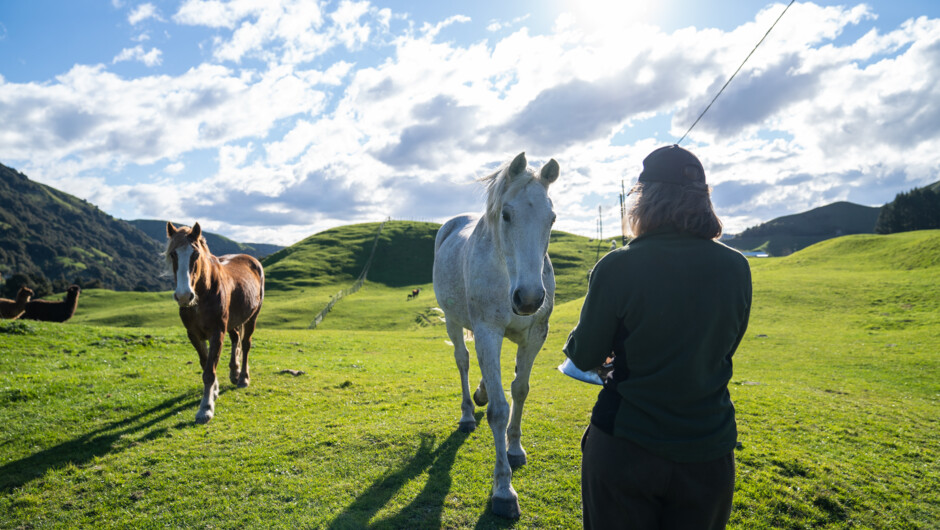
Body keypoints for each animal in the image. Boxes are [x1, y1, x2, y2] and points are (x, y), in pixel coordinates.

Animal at [166, 221, 264, 422]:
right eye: (173, 254)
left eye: (195, 254)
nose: (184, 296)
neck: (203, 294)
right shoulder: (194, 334)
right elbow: (205, 363)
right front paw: (214, 391)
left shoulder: (217, 332)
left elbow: (209, 371)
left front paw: (206, 408)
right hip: (233, 321)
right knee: (236, 339)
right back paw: (234, 372)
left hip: (252, 317)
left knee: (245, 344)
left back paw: (243, 378)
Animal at [434, 150, 560, 516]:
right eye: (506, 214)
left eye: (552, 218)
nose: (529, 298)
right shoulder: (487, 332)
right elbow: (500, 410)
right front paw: (503, 490)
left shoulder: (535, 335)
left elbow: (520, 389)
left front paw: (515, 449)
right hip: (453, 322)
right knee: (463, 361)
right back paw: (467, 412)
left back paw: (481, 393)